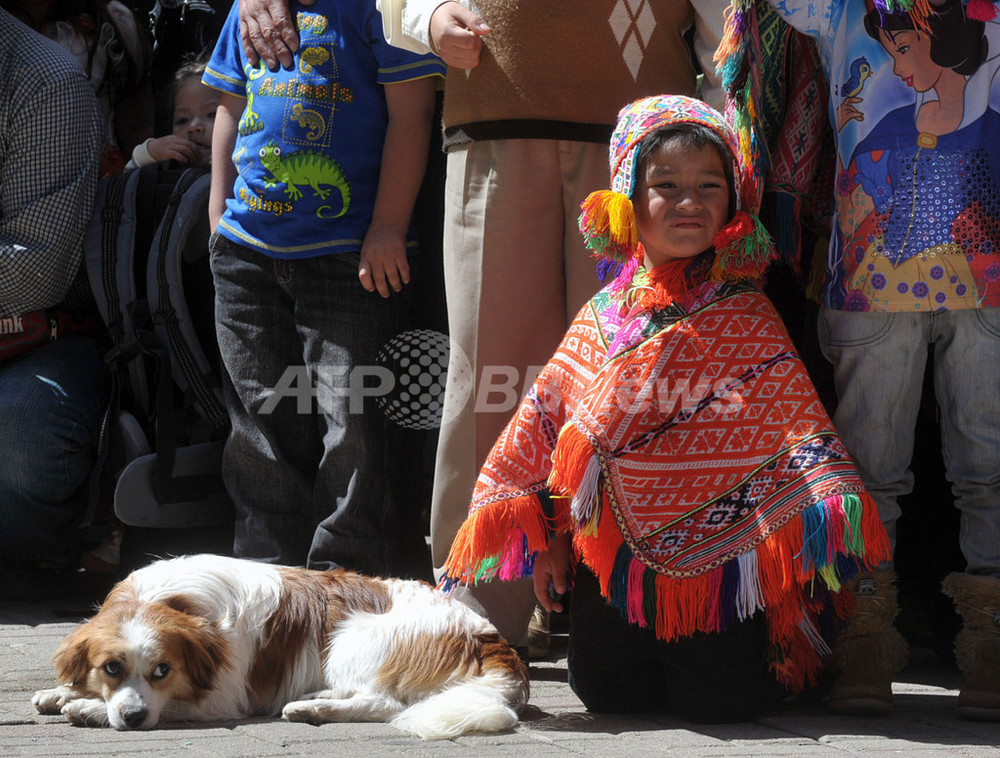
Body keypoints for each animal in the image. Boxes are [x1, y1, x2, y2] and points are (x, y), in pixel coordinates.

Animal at [33, 556, 532, 740]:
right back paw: (315, 697)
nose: (134, 718)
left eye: (162, 671)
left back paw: (313, 709)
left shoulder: (224, 697)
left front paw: (87, 708)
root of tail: (488, 634)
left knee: (385, 702)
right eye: (112, 668)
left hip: (352, 636)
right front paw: (64, 692)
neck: (171, 601)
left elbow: (174, 705)